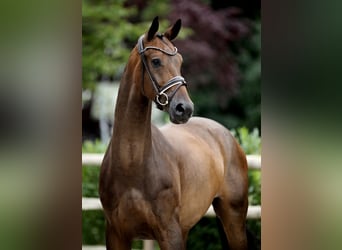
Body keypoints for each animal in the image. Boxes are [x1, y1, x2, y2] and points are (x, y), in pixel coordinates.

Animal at [99, 16, 248, 249]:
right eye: (155, 61)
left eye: (180, 61)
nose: (184, 109)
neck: (130, 164)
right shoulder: (116, 234)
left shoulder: (169, 233)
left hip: (233, 218)